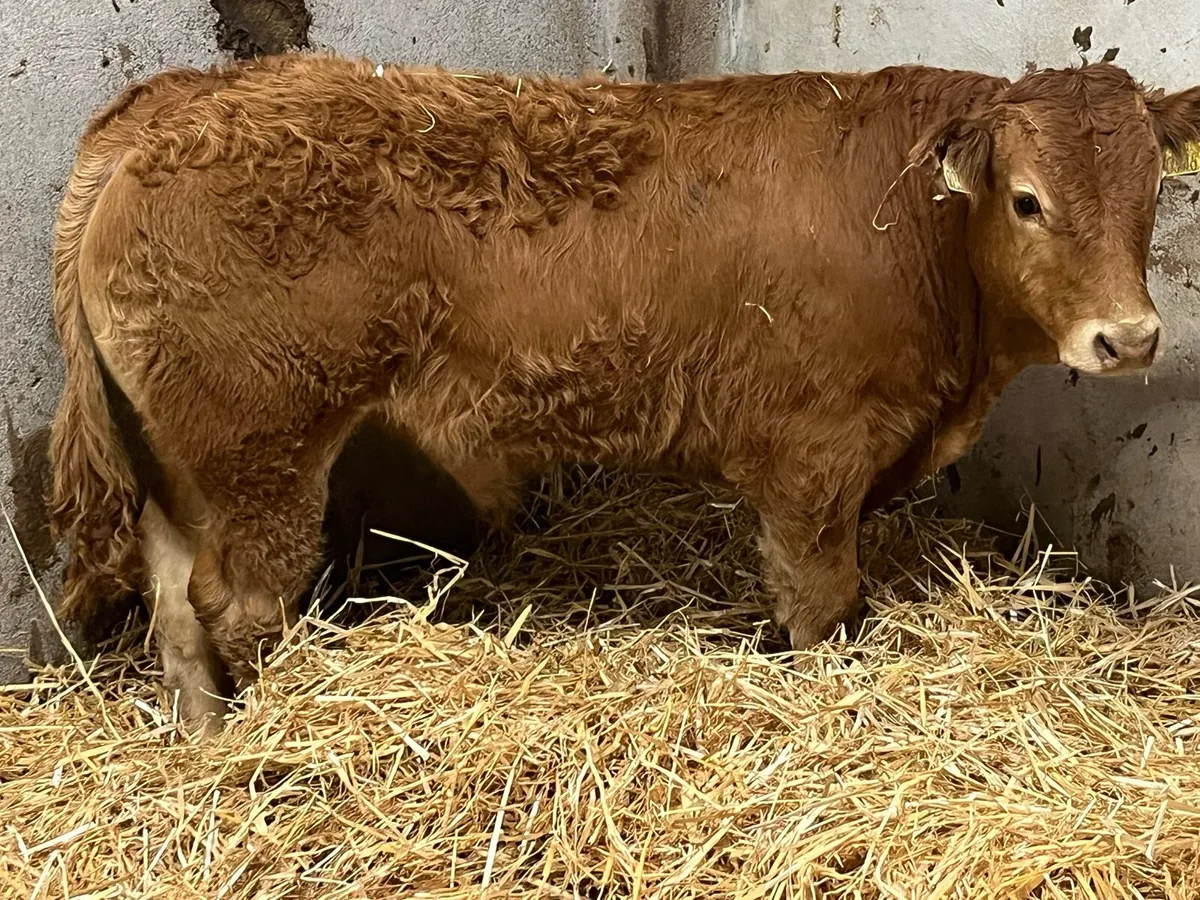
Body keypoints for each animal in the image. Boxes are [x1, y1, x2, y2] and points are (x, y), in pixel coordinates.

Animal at [45, 52, 1198, 733]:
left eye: (1153, 192)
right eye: (1027, 200)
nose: (1131, 337)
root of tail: (181, 102)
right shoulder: (815, 454)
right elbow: (822, 601)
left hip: (185, 470)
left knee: (173, 605)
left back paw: (206, 743)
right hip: (262, 457)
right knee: (234, 609)